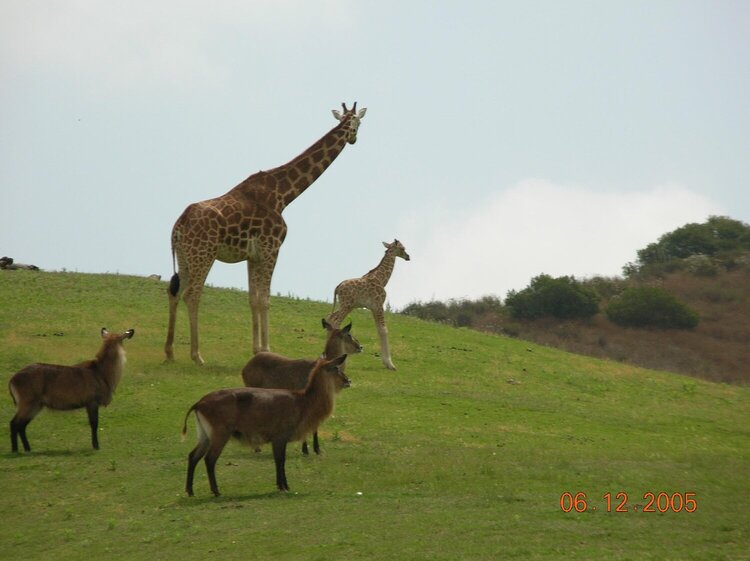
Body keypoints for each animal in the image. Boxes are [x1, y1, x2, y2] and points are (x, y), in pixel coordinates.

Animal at [166, 101, 368, 364]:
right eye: (358, 122)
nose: (353, 138)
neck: (284, 194)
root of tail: (178, 226)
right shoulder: (272, 248)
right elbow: (265, 299)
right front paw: (266, 348)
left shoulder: (253, 255)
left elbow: (253, 299)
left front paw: (256, 349)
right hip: (203, 254)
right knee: (192, 294)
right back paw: (197, 355)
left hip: (184, 256)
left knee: (175, 292)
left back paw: (169, 352)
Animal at [182, 354, 350, 494]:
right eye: (336, 368)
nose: (348, 381)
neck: (303, 402)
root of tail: (199, 403)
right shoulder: (280, 438)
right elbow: (281, 461)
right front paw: (284, 487)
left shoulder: (279, 440)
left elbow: (279, 461)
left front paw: (282, 486)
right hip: (220, 435)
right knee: (209, 459)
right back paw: (216, 491)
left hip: (205, 435)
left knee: (193, 456)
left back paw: (190, 491)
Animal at [244, 318, 364, 452]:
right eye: (349, 334)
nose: (360, 346)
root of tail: (248, 365)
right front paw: (308, 449)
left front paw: (315, 449)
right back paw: (257, 449)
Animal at [328, 238, 412, 370]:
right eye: (403, 248)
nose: (408, 256)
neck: (382, 279)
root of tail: (337, 287)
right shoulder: (378, 305)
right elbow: (384, 330)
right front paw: (390, 364)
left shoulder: (373, 307)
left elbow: (379, 329)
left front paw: (386, 362)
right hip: (346, 305)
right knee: (336, 321)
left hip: (347, 305)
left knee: (330, 317)